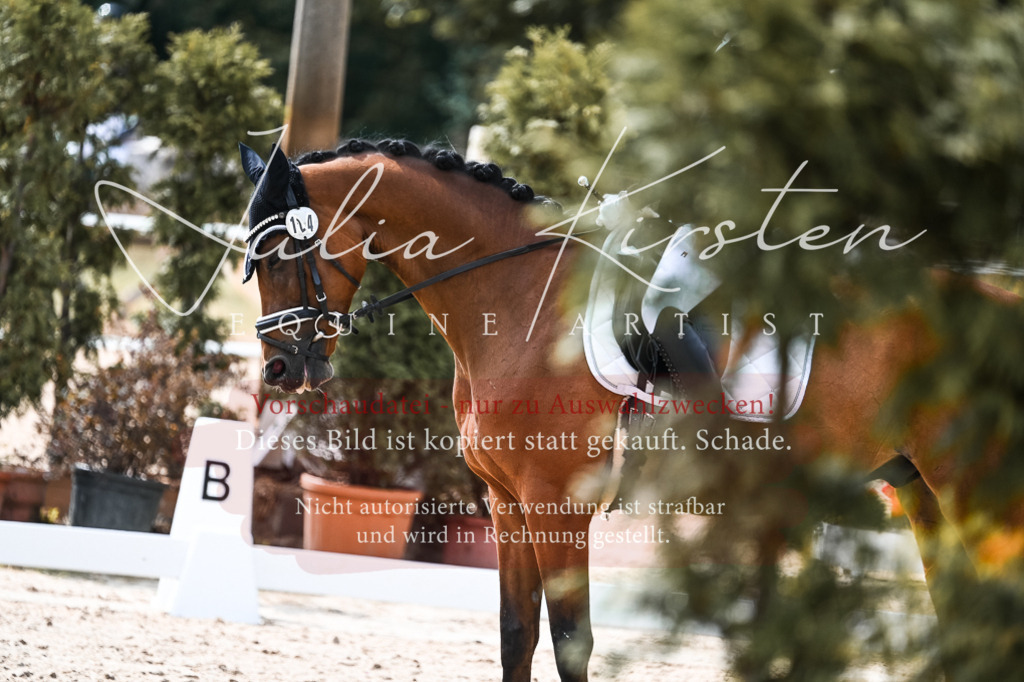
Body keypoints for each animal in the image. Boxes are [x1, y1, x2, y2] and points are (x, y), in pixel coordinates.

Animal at [238, 138, 1022, 681]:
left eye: (278, 253)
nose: (280, 368)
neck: (516, 300)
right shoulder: (508, 507)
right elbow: (516, 636)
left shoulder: (557, 508)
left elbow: (571, 643)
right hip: (920, 493)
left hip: (975, 493)